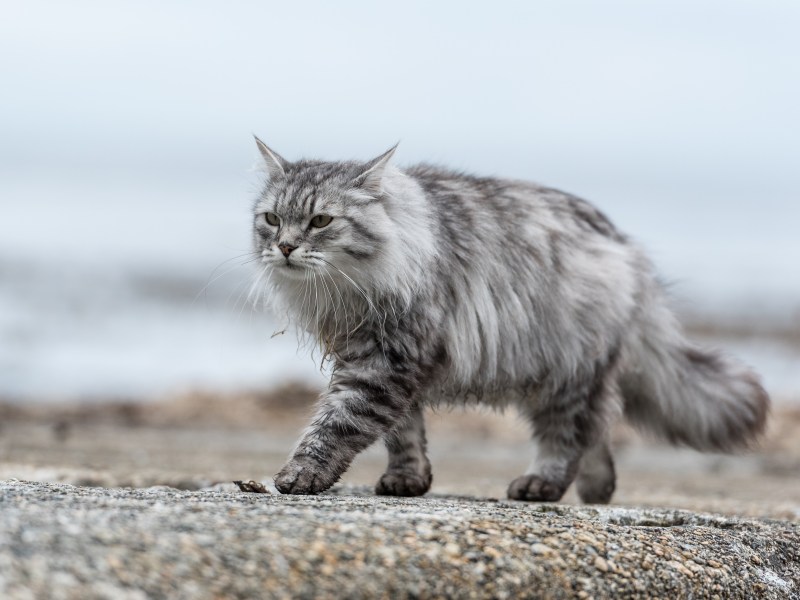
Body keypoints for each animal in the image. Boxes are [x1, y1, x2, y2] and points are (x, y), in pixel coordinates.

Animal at [252, 138, 768, 504]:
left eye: (321, 221)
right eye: (272, 219)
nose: (285, 247)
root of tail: (626, 247)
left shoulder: (386, 360)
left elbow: (337, 423)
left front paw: (301, 474)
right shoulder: (385, 358)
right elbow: (404, 434)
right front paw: (408, 479)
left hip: (565, 372)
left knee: (570, 436)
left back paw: (543, 485)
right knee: (598, 429)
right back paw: (598, 489)